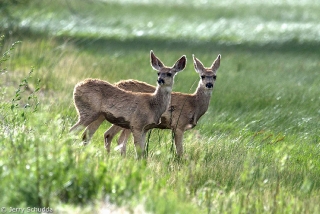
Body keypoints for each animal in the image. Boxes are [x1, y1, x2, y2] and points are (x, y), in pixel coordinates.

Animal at [69, 50, 220, 157]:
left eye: (214, 76)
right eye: (202, 76)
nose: (209, 84)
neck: (194, 104)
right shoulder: (178, 125)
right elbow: (179, 151)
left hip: (102, 116)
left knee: (93, 135)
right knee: (108, 136)